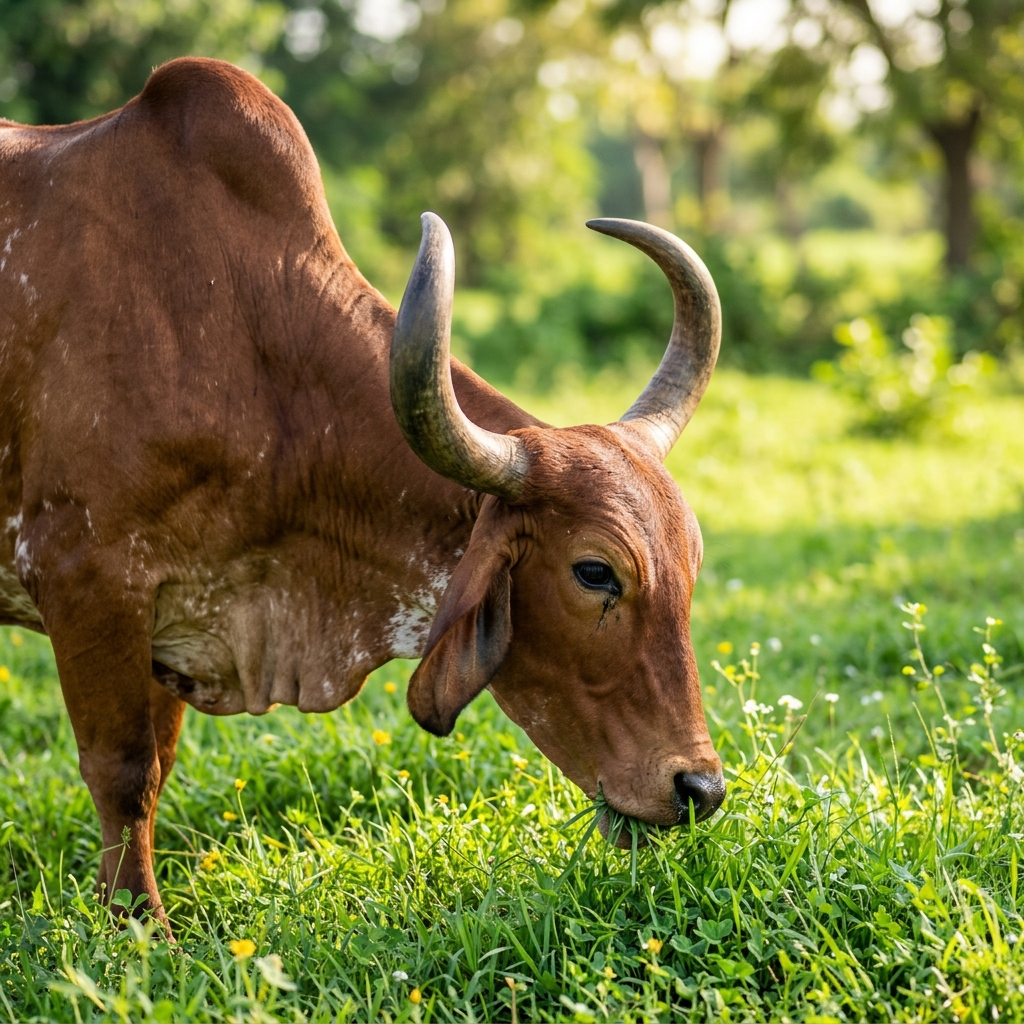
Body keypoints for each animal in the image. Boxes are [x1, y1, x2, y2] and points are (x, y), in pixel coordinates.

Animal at [0, 57, 725, 933]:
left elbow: (157, 767)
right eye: (595, 572)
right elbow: (124, 772)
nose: (700, 787)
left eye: (691, 565)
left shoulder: (165, 616)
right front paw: (139, 929)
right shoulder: (86, 579)